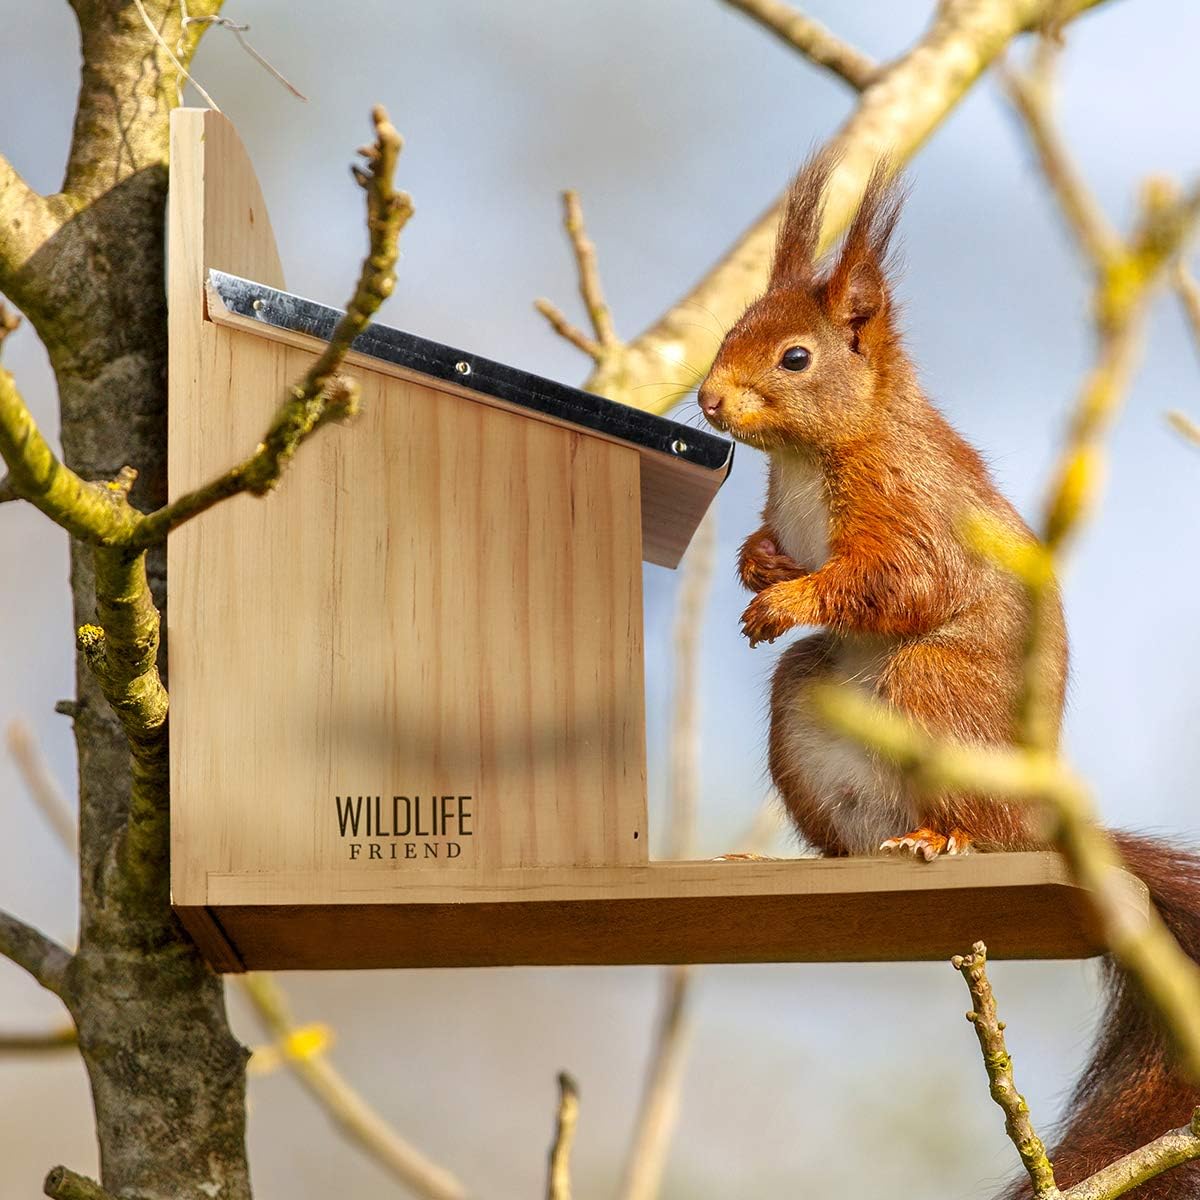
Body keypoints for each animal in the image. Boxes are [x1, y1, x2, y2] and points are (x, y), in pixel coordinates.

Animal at [696, 154, 1200, 1197]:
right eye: (728, 333)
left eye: (795, 358)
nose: (709, 402)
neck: (812, 454)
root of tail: (1036, 828)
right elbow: (778, 549)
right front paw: (760, 568)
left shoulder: (912, 511)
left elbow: (896, 584)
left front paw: (785, 600)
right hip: (806, 715)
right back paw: (809, 861)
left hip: (931, 691)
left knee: (956, 794)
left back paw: (940, 837)